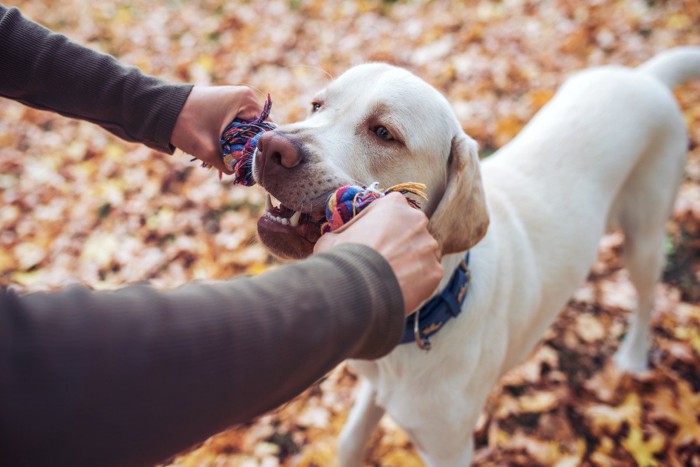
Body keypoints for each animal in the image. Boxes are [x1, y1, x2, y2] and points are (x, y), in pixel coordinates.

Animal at [252, 48, 700, 467]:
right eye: (317, 106)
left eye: (383, 133)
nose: (270, 146)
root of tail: (646, 78)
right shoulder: (375, 389)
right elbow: (349, 441)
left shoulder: (449, 448)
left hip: (644, 237)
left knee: (647, 298)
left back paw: (634, 356)